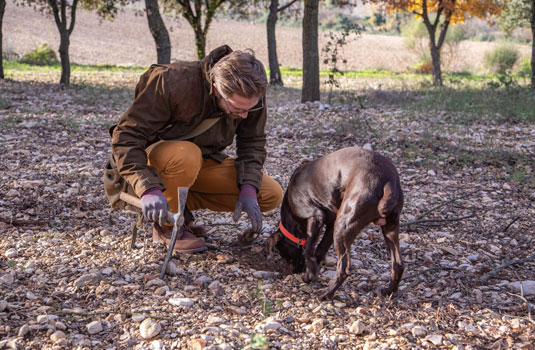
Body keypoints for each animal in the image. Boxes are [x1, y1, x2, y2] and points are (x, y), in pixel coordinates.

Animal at [270, 146, 404, 300]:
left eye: (283, 254)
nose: (296, 271)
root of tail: (388, 182)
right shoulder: (331, 225)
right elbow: (319, 249)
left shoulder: (316, 216)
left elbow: (309, 248)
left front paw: (309, 275)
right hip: (389, 228)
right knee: (398, 264)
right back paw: (388, 291)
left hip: (343, 226)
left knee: (344, 269)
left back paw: (325, 294)